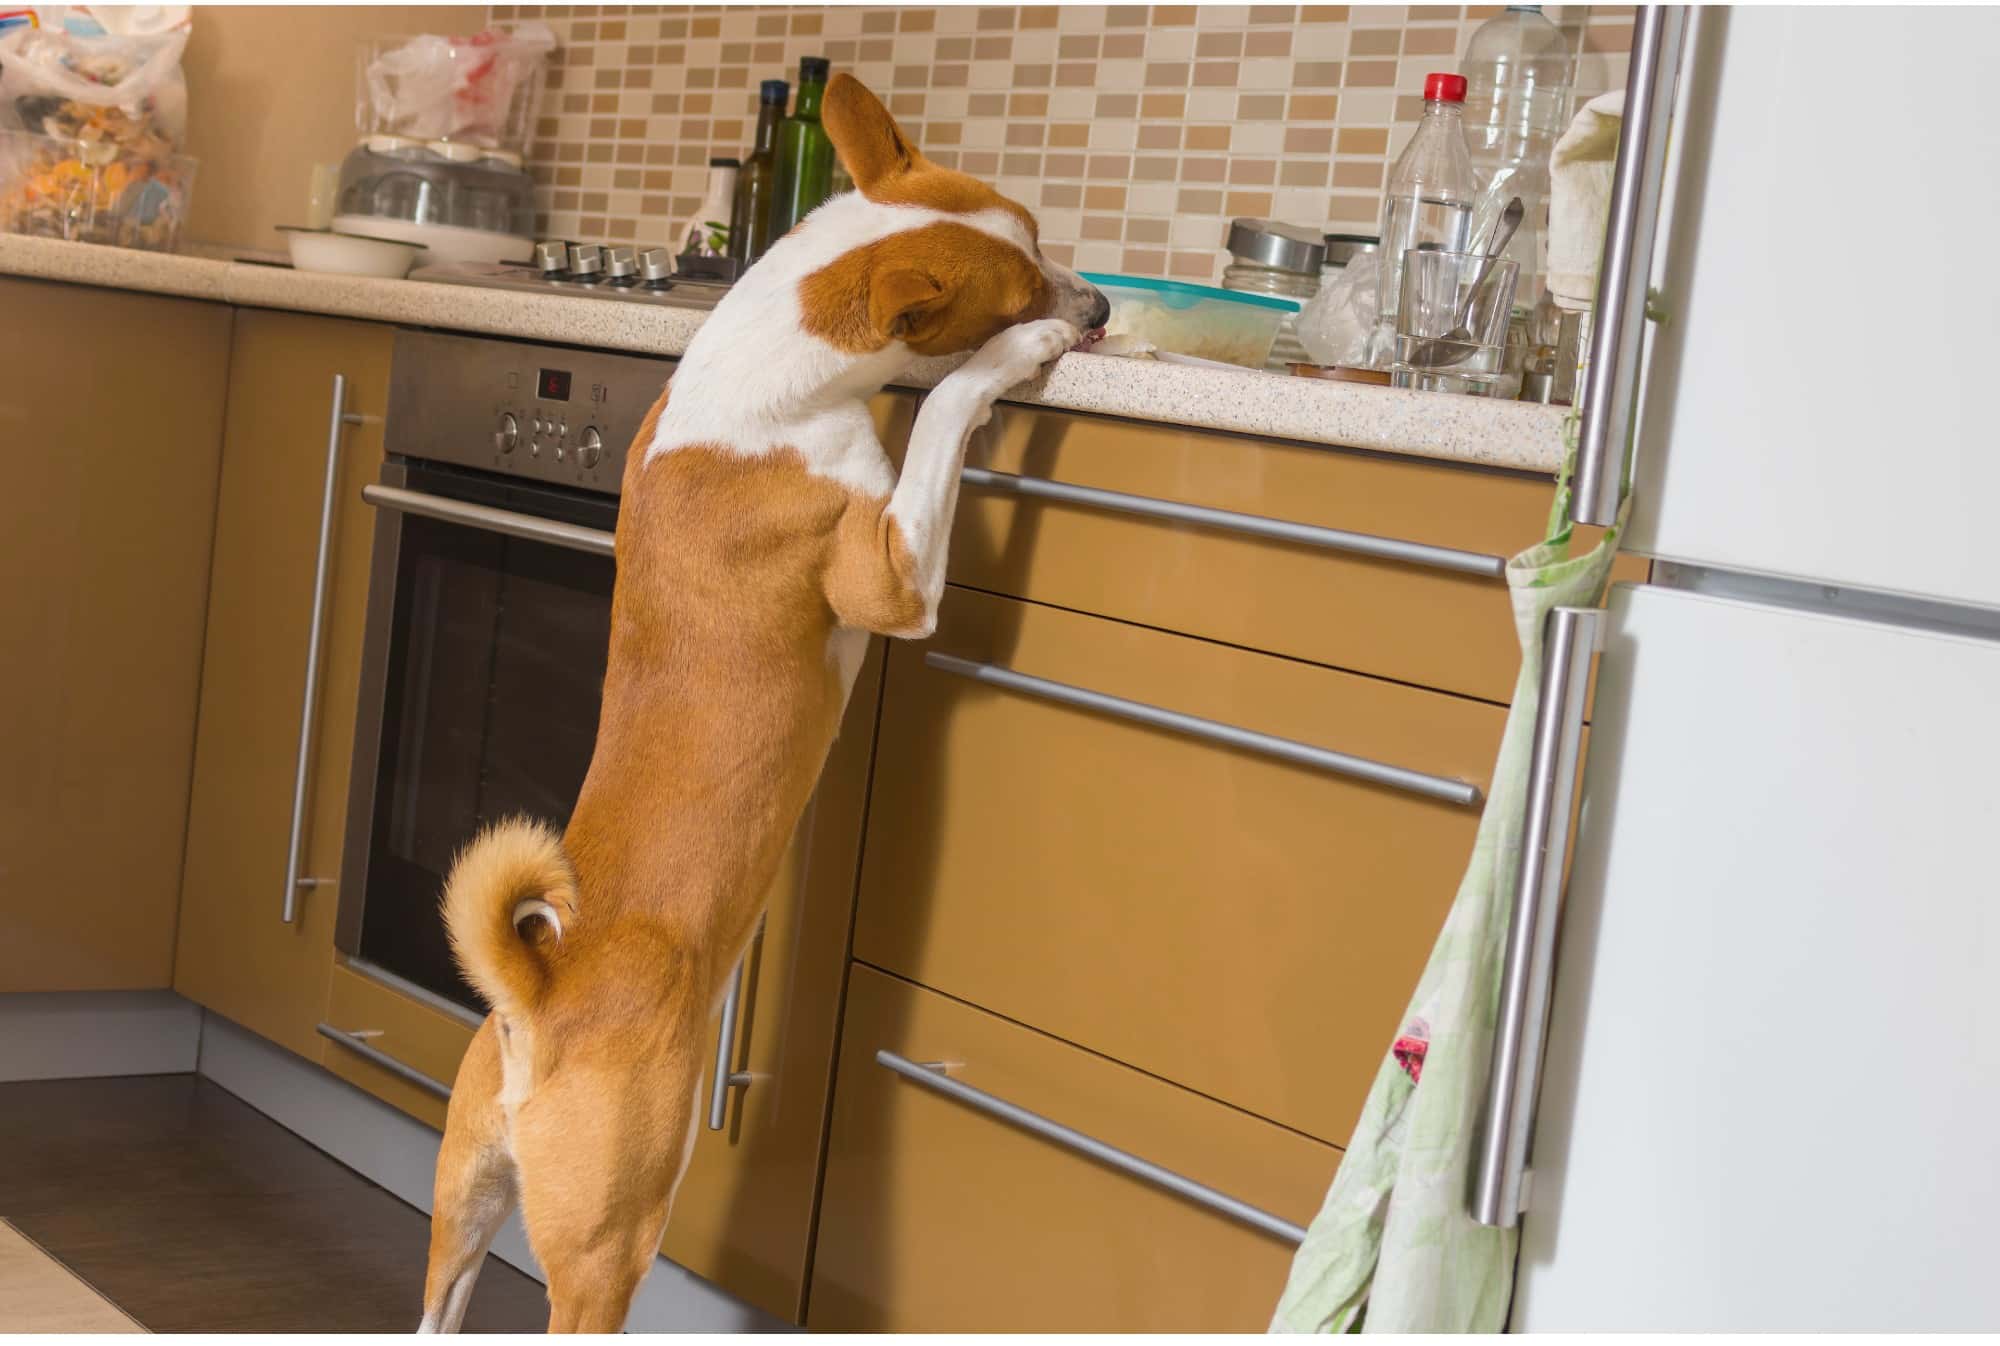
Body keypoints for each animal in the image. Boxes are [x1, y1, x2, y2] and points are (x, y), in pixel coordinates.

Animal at [416, 76, 1120, 1336]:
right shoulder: (891, 575)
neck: (767, 365)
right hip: (609, 1237)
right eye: (1023, 285)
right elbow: (942, 409)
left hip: (462, 1197)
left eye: (1042, 235)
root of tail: (538, 999)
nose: (1096, 304)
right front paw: (1012, 359)